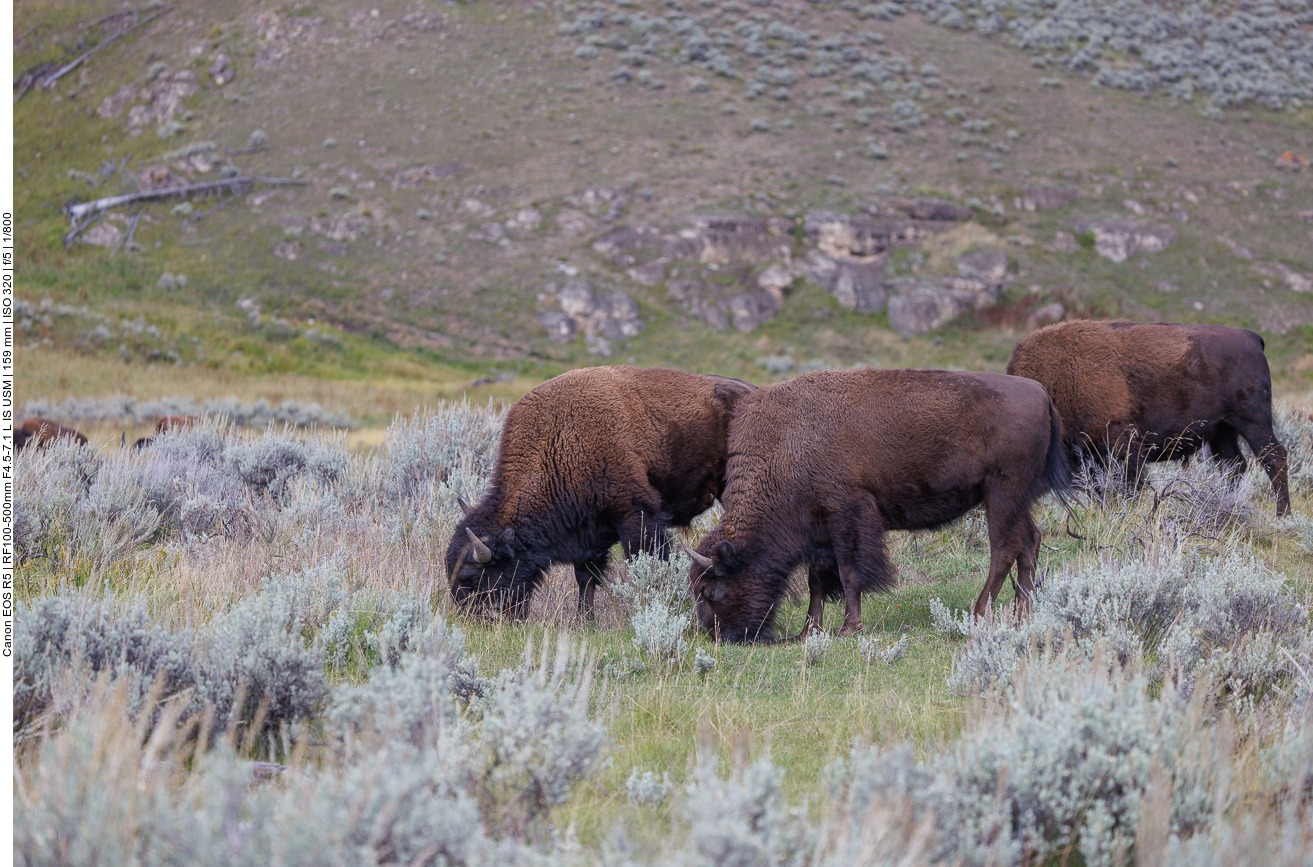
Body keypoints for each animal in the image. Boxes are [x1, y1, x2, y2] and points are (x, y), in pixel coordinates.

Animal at [443, 365, 756, 617]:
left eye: (471, 578)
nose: (473, 619)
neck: (559, 442)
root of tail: (752, 390)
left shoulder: (637, 517)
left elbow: (646, 563)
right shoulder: (589, 535)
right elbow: (586, 578)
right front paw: (585, 619)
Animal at [682, 367, 1071, 643]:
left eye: (709, 590)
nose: (716, 635)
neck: (785, 446)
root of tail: (1040, 392)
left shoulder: (847, 518)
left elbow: (849, 573)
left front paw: (848, 628)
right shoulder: (819, 531)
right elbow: (817, 580)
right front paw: (809, 631)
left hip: (1001, 493)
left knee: (1003, 548)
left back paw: (979, 613)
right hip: (1016, 499)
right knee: (1030, 541)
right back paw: (1022, 615)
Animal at [1008, 321, 1286, 517]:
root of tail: (1250, 337)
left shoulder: (1122, 446)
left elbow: (1128, 485)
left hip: (1252, 422)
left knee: (1274, 458)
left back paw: (1282, 515)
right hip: (1222, 431)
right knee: (1234, 466)